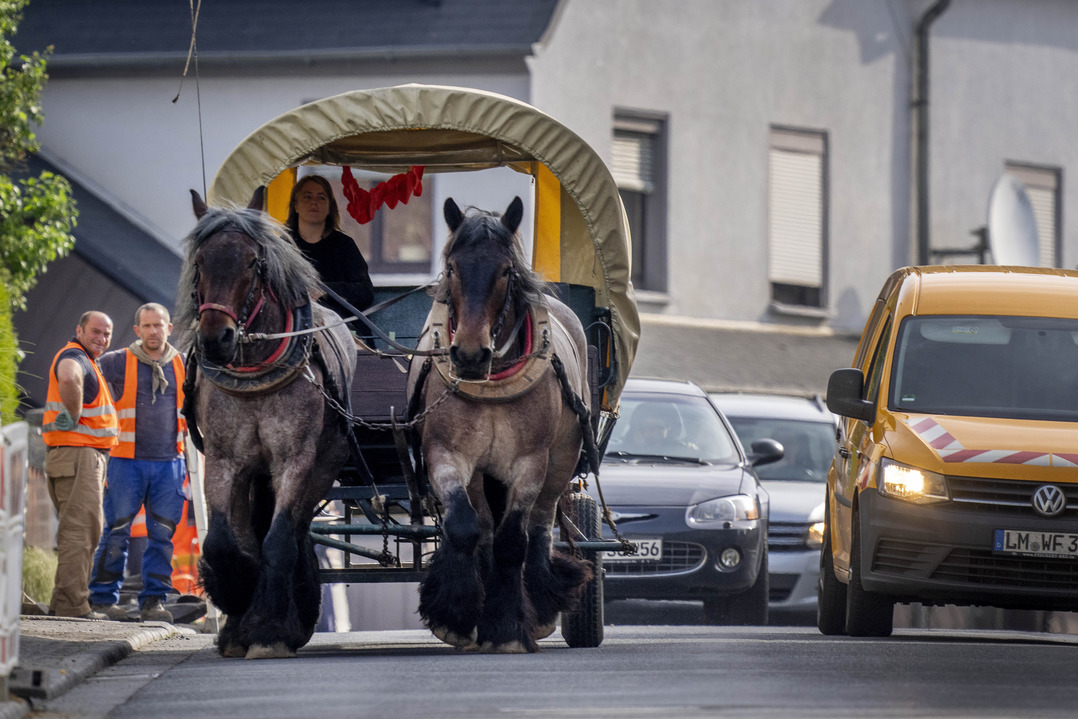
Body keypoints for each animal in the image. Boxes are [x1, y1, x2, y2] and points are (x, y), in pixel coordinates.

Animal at [180, 189, 357, 659]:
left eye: (252, 262)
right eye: (200, 261)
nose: (216, 339)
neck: (256, 373)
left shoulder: (295, 460)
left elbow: (277, 540)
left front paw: (268, 630)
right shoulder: (224, 460)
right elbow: (224, 542)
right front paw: (237, 602)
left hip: (321, 467)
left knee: (294, 532)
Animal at [405, 197, 595, 651]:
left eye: (506, 270)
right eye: (452, 267)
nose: (470, 354)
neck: (491, 381)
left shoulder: (530, 464)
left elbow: (514, 541)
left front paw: (507, 627)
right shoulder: (447, 455)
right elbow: (465, 528)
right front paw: (457, 615)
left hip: (561, 461)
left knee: (540, 526)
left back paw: (540, 603)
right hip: (481, 473)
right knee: (486, 528)